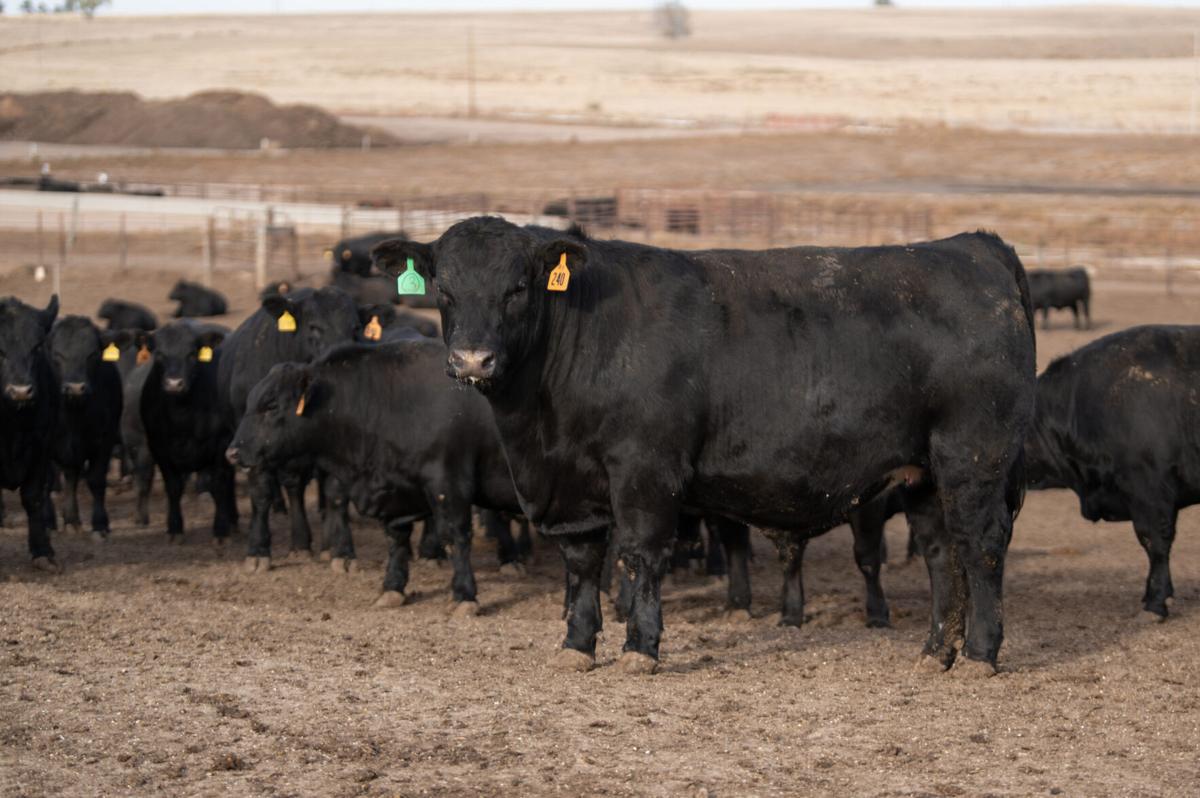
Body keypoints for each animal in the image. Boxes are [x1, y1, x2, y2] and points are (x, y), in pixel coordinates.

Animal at [45, 316, 123, 541]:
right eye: (57, 354)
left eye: (92, 354)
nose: (75, 387)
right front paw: (48, 522)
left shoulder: (104, 441)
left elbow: (96, 480)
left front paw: (100, 524)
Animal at [134, 320, 235, 543]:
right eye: (159, 354)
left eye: (191, 354)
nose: (174, 383)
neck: (183, 417)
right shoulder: (159, 447)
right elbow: (173, 487)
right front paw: (174, 528)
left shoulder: (221, 444)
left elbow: (218, 484)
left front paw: (220, 530)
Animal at [217, 287, 362, 572]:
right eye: (314, 326)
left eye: (356, 328)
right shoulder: (249, 445)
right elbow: (261, 493)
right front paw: (258, 551)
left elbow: (336, 493)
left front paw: (343, 551)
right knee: (293, 487)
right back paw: (301, 543)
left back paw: (320, 544)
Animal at [227, 339, 526, 612]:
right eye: (250, 404)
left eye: (271, 406)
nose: (232, 453)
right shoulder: (396, 491)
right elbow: (396, 540)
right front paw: (392, 587)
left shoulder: (448, 486)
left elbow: (455, 537)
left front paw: (464, 594)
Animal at [373, 218, 1036, 675]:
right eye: (444, 289)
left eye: (516, 288)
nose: (472, 360)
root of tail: (975, 247)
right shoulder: (572, 487)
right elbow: (582, 563)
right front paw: (577, 645)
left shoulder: (644, 469)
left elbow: (640, 555)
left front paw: (640, 648)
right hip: (924, 473)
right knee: (941, 554)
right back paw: (935, 651)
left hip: (972, 458)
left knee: (981, 546)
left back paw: (980, 655)